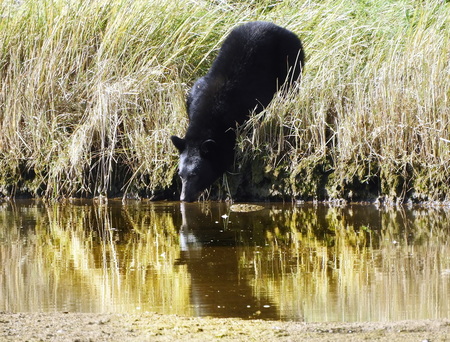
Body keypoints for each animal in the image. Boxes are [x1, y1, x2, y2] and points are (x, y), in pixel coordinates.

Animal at [171, 21, 304, 202]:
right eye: (181, 174)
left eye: (195, 175)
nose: (184, 197)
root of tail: (285, 30)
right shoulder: (194, 95)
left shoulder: (248, 103)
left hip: (291, 60)